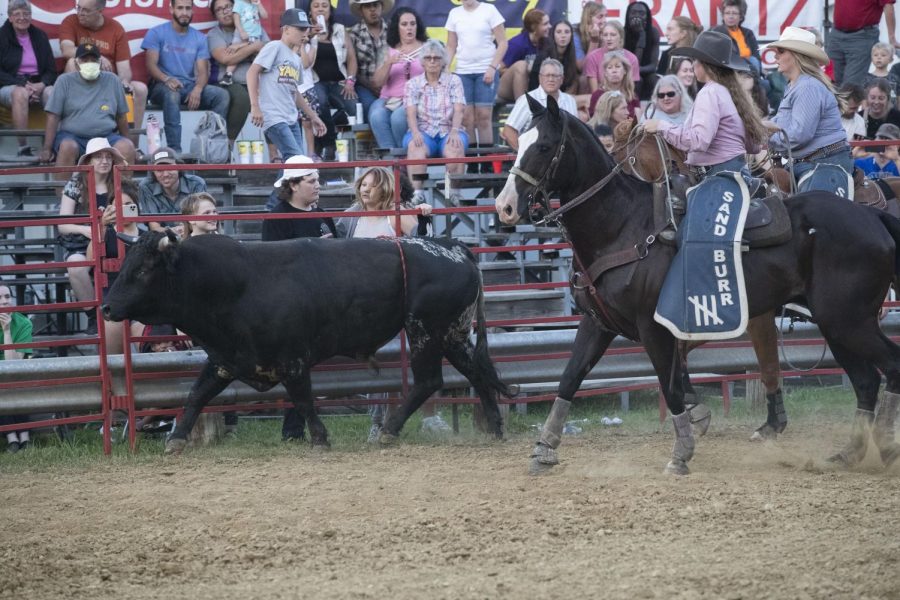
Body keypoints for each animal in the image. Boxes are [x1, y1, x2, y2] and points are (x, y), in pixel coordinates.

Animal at [101, 232, 510, 452]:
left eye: (144, 269)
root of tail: (455, 248)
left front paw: (319, 438)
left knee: (428, 381)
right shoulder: (225, 358)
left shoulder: (292, 359)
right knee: (477, 373)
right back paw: (495, 428)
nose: (106, 306)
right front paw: (177, 438)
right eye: (126, 265)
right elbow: (197, 394)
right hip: (452, 333)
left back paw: (388, 432)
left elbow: (302, 398)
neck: (232, 283)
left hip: (425, 330)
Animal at [496, 96, 900, 476]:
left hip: (850, 321)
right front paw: (543, 449)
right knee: (866, 381)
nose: (504, 206)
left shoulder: (655, 327)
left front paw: (682, 452)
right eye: (519, 143)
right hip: (836, 324)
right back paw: (849, 453)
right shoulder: (598, 324)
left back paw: (882, 446)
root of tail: (871, 215)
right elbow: (569, 378)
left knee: (889, 366)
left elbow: (671, 384)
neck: (623, 226)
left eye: (544, 146)